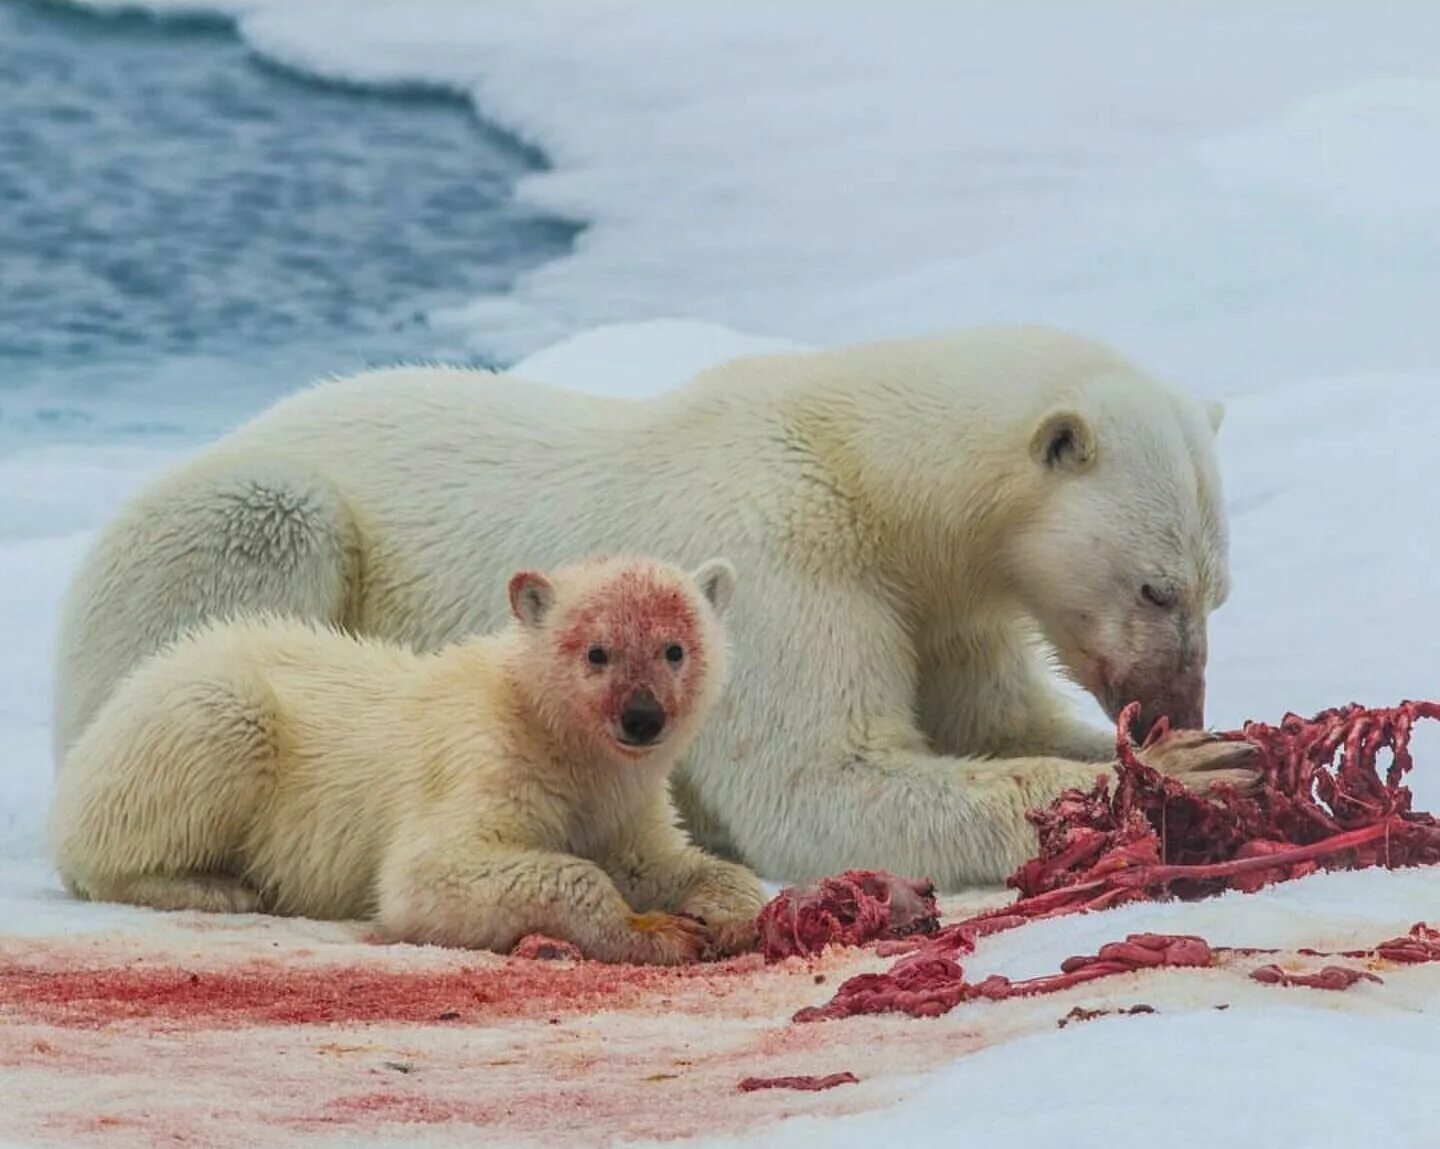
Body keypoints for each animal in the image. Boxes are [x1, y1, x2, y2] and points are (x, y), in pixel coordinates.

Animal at [47, 555, 766, 961]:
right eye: (597, 651)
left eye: (674, 648)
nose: (643, 717)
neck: (557, 737)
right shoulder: (485, 760)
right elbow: (431, 874)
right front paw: (657, 931)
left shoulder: (624, 798)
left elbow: (664, 860)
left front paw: (729, 916)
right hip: (202, 718)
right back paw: (216, 884)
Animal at [50, 323, 1255, 892]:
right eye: (1154, 584)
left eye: (1218, 588)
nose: (1184, 703)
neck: (864, 463)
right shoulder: (780, 554)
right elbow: (820, 783)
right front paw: (1185, 772)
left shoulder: (943, 598)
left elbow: (993, 715)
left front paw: (1202, 747)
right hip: (230, 529)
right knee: (265, 529)